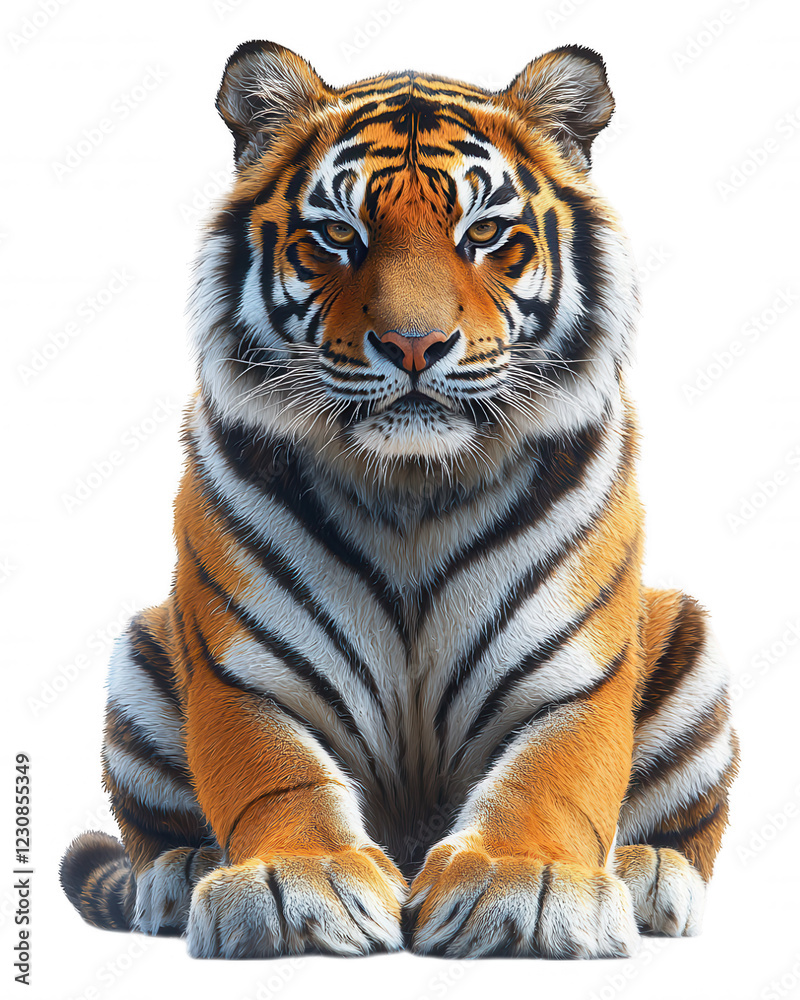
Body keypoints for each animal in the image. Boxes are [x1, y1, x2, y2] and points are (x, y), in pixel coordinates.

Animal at [60, 40, 738, 960]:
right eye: (338, 236)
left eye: (483, 233)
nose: (414, 344)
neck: (412, 485)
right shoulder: (242, 669)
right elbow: (276, 775)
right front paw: (297, 884)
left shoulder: (577, 673)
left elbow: (551, 776)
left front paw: (525, 884)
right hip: (144, 653)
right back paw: (180, 873)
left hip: (686, 644)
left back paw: (649, 875)